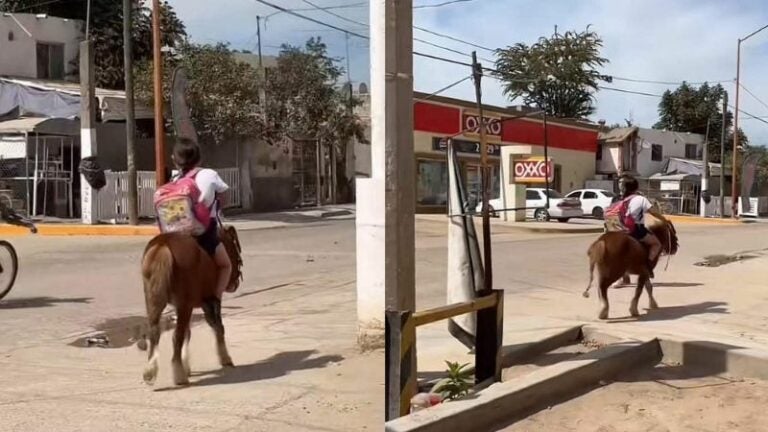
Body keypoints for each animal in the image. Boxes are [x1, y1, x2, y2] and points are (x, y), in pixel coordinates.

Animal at [140, 226, 243, 384]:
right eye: (236, 250)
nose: (235, 283)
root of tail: (163, 245)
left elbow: (188, 333)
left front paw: (186, 364)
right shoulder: (210, 302)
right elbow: (218, 326)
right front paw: (225, 358)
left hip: (153, 301)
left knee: (156, 331)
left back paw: (150, 370)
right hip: (184, 305)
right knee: (177, 336)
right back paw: (179, 375)